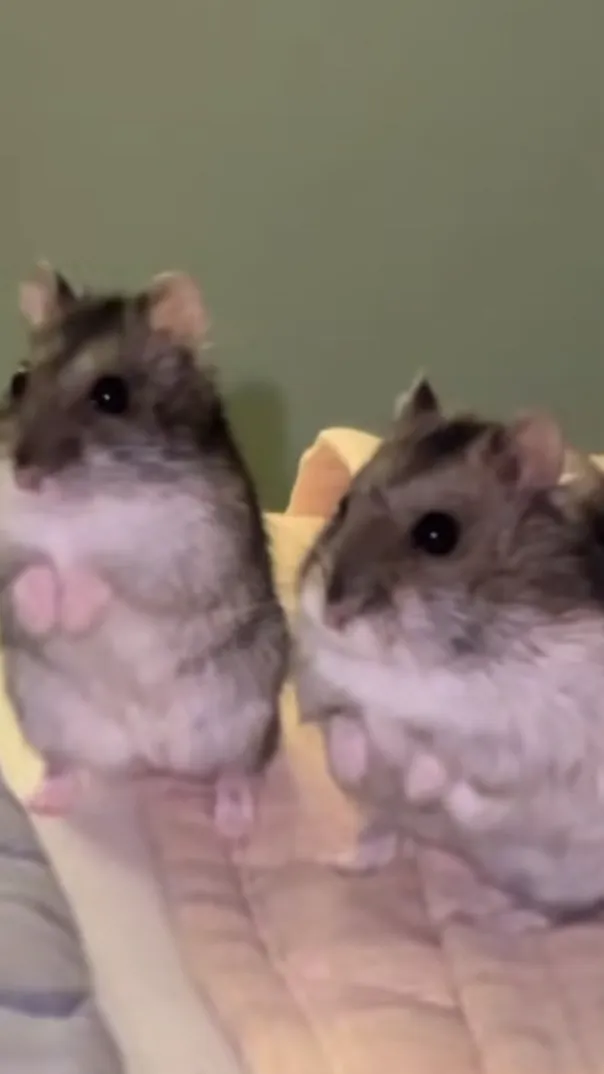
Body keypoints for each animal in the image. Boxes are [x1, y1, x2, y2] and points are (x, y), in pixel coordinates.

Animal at [0, 262, 289, 837]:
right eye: (18, 380)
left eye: (112, 395)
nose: (23, 475)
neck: (75, 504)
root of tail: (150, 755)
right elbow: (28, 570)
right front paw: (47, 607)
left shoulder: (187, 549)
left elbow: (112, 574)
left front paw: (74, 603)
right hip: (45, 715)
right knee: (72, 767)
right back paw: (45, 799)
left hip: (248, 718)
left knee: (237, 769)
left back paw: (234, 821)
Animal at [294, 375, 604, 918]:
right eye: (342, 506)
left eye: (438, 534)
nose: (333, 612)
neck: (412, 661)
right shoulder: (322, 686)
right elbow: (346, 720)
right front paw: (362, 762)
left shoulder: (529, 738)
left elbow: (453, 757)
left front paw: (420, 785)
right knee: (383, 838)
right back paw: (339, 861)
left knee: (551, 910)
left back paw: (483, 913)